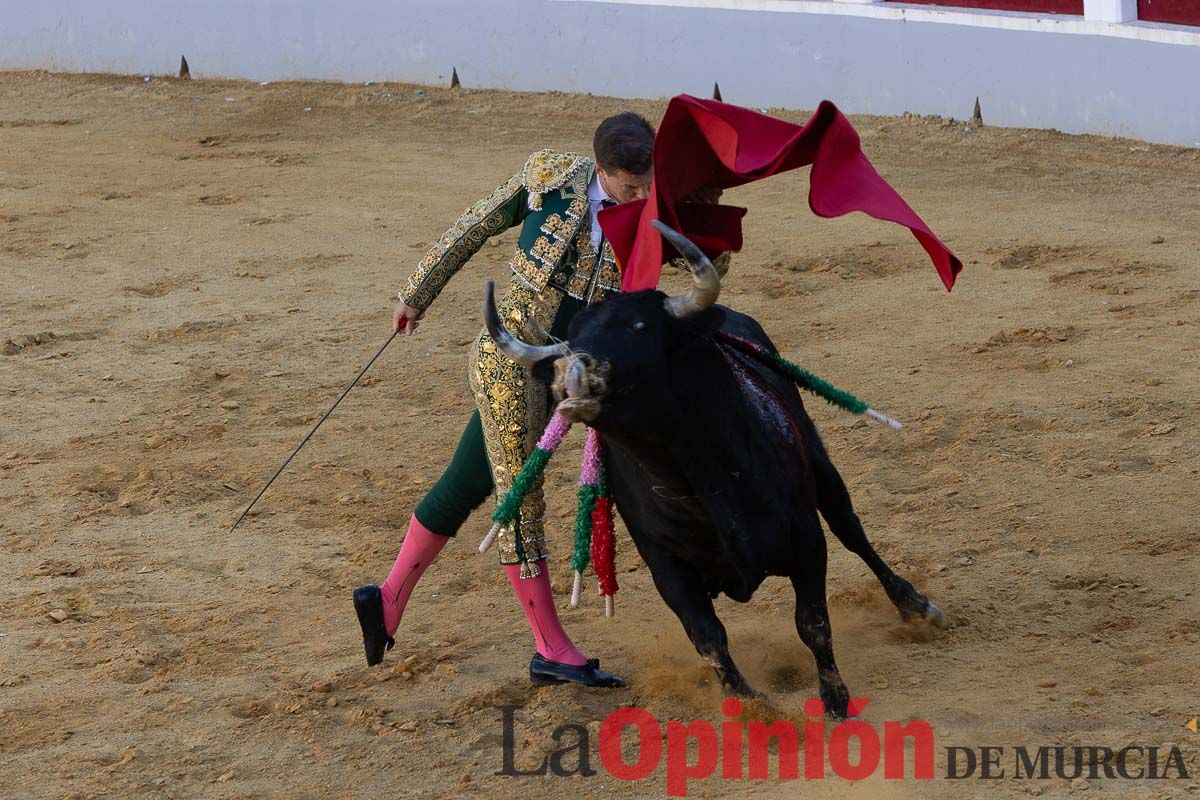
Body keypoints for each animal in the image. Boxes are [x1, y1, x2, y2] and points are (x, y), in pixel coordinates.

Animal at [482, 221, 940, 714]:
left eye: (641, 326)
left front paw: (835, 701)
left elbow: (813, 623)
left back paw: (916, 606)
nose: (573, 371)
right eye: (572, 335)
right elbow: (709, 640)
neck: (694, 477)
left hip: (821, 470)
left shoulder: (806, 539)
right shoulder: (666, 567)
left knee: (852, 532)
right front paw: (754, 709)